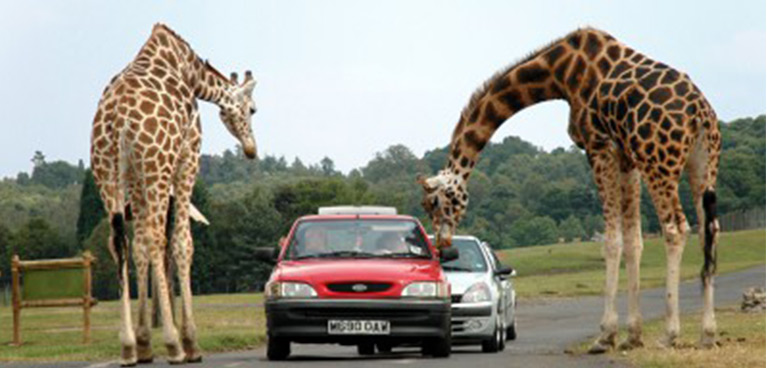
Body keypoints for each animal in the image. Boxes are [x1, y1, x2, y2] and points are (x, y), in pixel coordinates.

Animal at [91, 23, 260, 366]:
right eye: (252, 109)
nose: (252, 150)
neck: (191, 72)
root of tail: (116, 119)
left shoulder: (134, 178)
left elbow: (139, 247)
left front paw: (144, 342)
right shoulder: (188, 156)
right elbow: (183, 243)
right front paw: (190, 341)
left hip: (107, 172)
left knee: (120, 242)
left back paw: (128, 347)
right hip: (158, 166)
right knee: (158, 239)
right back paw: (174, 345)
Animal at [416, 26, 724, 354]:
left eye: (434, 203)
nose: (443, 245)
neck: (558, 73)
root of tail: (699, 113)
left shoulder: (598, 145)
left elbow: (611, 241)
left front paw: (606, 335)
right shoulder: (625, 156)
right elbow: (633, 241)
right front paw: (633, 335)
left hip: (658, 162)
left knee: (676, 228)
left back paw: (670, 333)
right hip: (702, 164)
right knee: (709, 229)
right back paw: (708, 333)